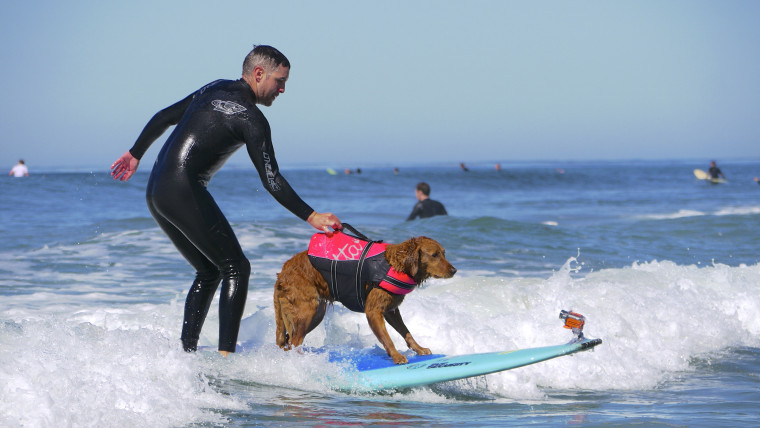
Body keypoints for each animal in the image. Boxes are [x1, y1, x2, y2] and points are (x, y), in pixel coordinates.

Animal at [274, 234, 458, 364]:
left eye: (443, 253)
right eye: (434, 255)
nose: (454, 270)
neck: (395, 265)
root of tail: (282, 272)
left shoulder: (391, 310)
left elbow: (406, 332)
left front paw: (419, 349)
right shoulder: (373, 311)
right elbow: (387, 338)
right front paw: (396, 356)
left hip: (316, 312)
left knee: (290, 340)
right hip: (307, 310)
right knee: (295, 341)